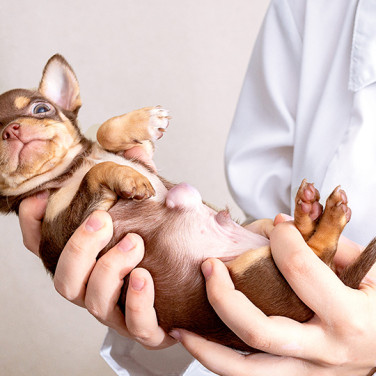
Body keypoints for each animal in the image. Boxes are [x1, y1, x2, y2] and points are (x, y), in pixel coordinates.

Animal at [0, 55, 376, 352]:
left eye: (41, 109)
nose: (12, 129)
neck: (70, 169)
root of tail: (339, 282)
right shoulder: (60, 230)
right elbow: (97, 175)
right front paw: (128, 179)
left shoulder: (139, 153)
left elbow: (105, 131)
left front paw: (145, 120)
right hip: (257, 274)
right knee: (313, 251)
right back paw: (323, 215)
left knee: (307, 244)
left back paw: (308, 211)